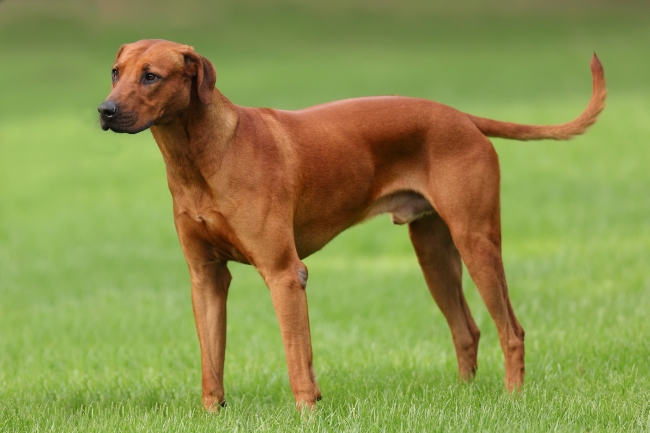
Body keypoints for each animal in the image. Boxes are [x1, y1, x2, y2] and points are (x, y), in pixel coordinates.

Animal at [96, 39, 604, 408]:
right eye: (116, 72)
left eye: (151, 76)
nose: (104, 110)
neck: (200, 157)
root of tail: (461, 116)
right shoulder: (205, 277)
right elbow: (211, 361)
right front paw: (212, 414)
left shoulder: (285, 274)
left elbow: (297, 356)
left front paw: (307, 412)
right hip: (434, 253)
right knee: (467, 330)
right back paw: (464, 397)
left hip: (477, 242)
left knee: (511, 330)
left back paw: (513, 399)